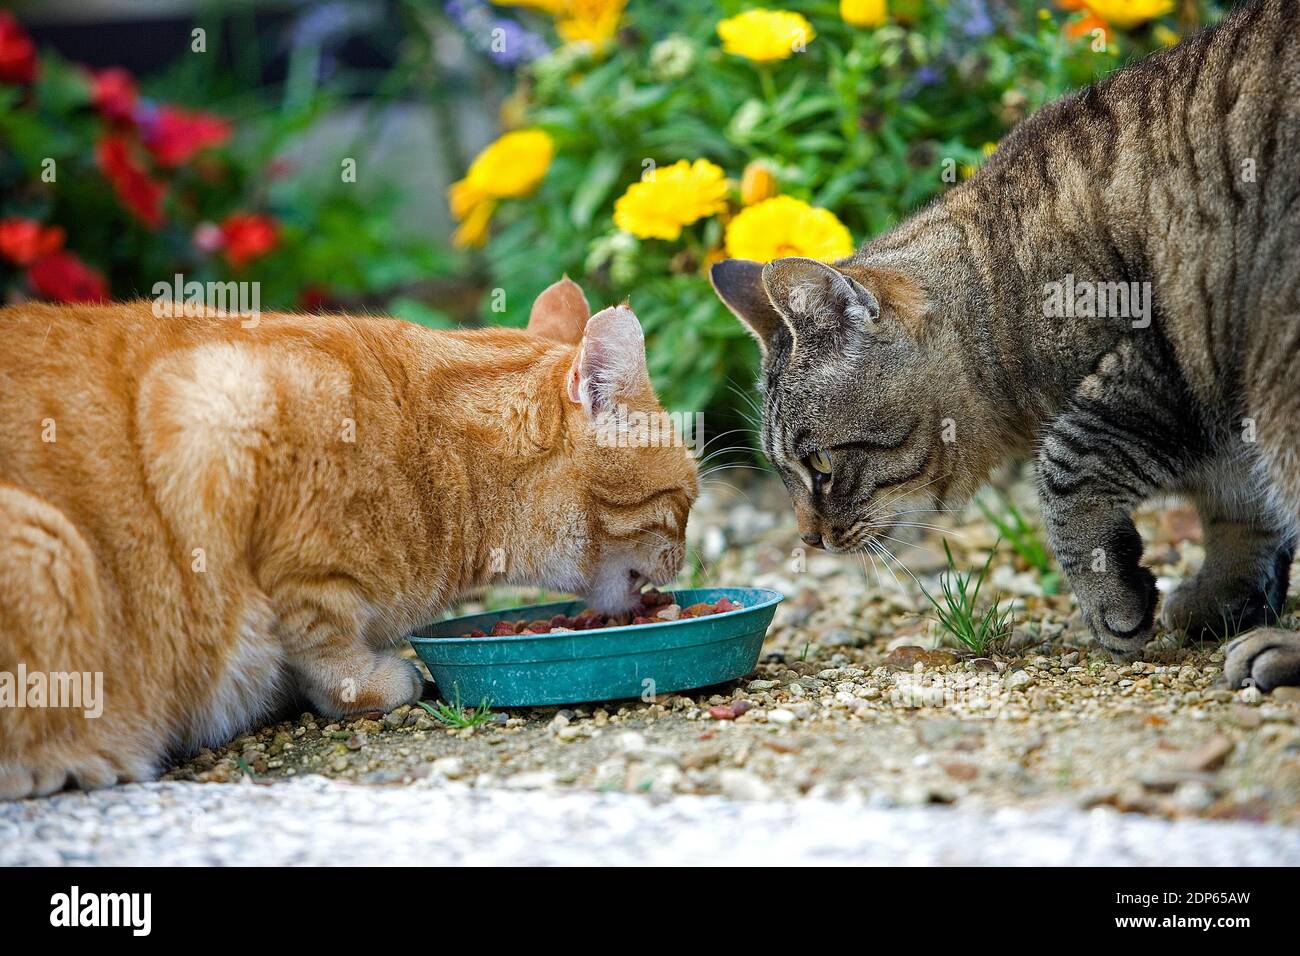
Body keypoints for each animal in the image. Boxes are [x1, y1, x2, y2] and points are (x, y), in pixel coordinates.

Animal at [0, 278, 702, 801]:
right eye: (686, 500)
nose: (685, 559)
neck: (439, 455)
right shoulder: (226, 434)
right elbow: (320, 633)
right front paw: (368, 681)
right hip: (48, 542)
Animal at [712, 0, 1300, 686]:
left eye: (823, 468)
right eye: (784, 474)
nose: (809, 539)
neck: (1004, 280)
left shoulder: (1162, 357)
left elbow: (1064, 471)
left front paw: (1112, 599)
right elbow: (1239, 511)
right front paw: (1222, 596)